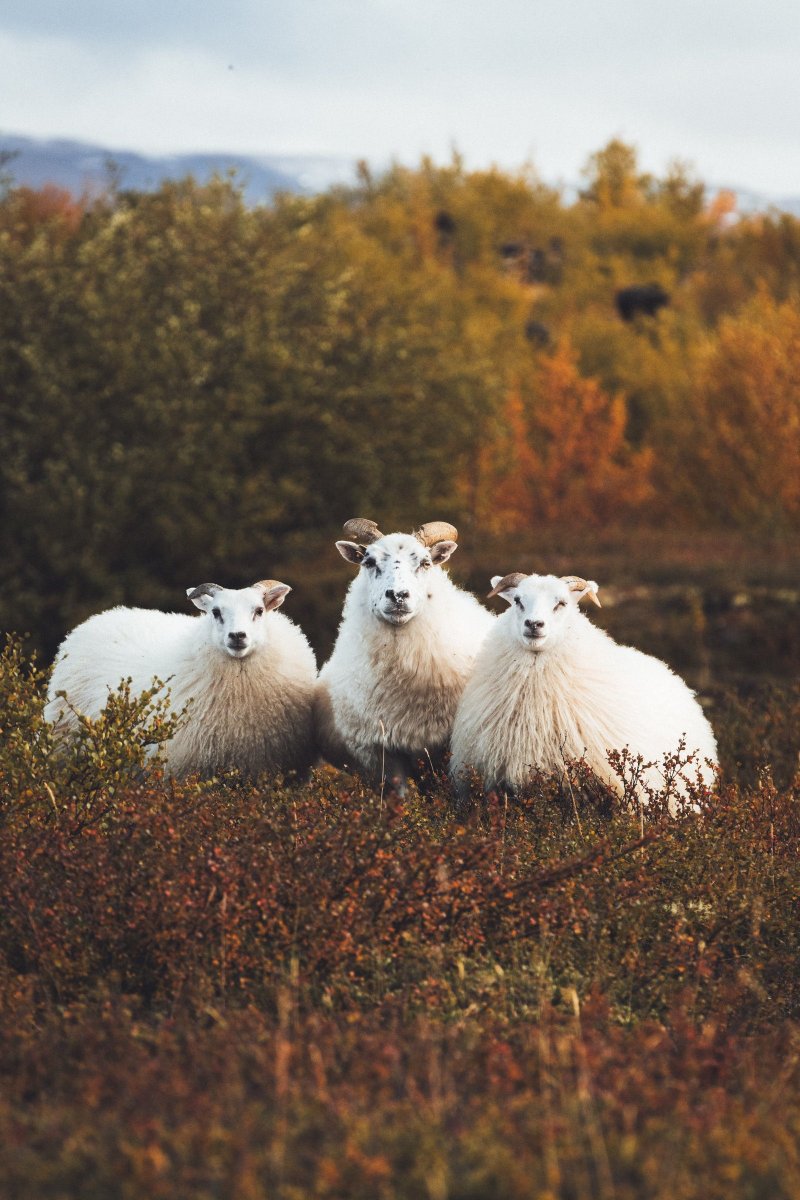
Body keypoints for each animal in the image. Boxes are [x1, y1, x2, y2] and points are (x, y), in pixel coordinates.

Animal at [316, 518, 494, 792]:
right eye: (369, 561)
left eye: (425, 562)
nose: (398, 596)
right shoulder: (380, 750)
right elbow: (402, 793)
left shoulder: (445, 747)